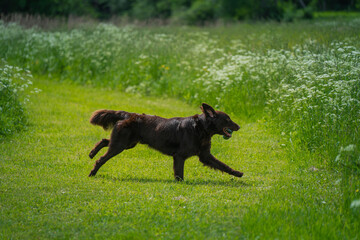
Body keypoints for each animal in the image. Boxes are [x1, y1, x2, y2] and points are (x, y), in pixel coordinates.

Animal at [88, 102, 243, 180]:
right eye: (227, 119)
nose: (239, 126)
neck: (200, 128)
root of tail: (128, 114)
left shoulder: (205, 155)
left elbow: (223, 165)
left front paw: (238, 173)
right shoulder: (179, 156)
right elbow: (179, 173)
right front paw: (180, 183)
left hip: (128, 143)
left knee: (104, 140)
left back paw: (91, 153)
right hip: (121, 145)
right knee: (101, 158)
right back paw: (92, 172)